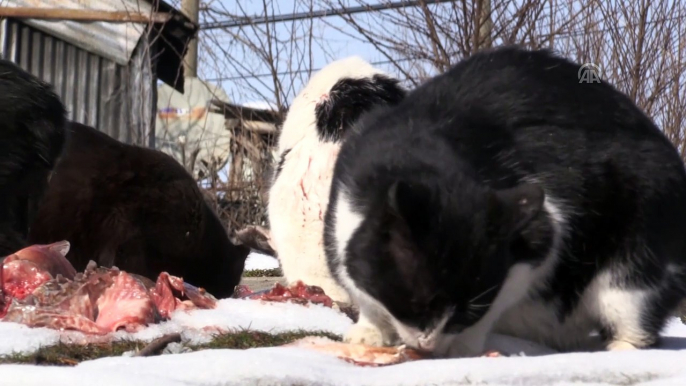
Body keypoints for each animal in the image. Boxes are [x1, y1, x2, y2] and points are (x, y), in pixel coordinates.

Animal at [326, 46, 686, 358]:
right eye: (419, 303)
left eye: (469, 310)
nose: (429, 344)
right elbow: (365, 298)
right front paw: (370, 331)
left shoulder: (542, 231)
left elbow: (496, 301)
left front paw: (461, 346)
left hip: (637, 258)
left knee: (634, 320)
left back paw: (616, 348)